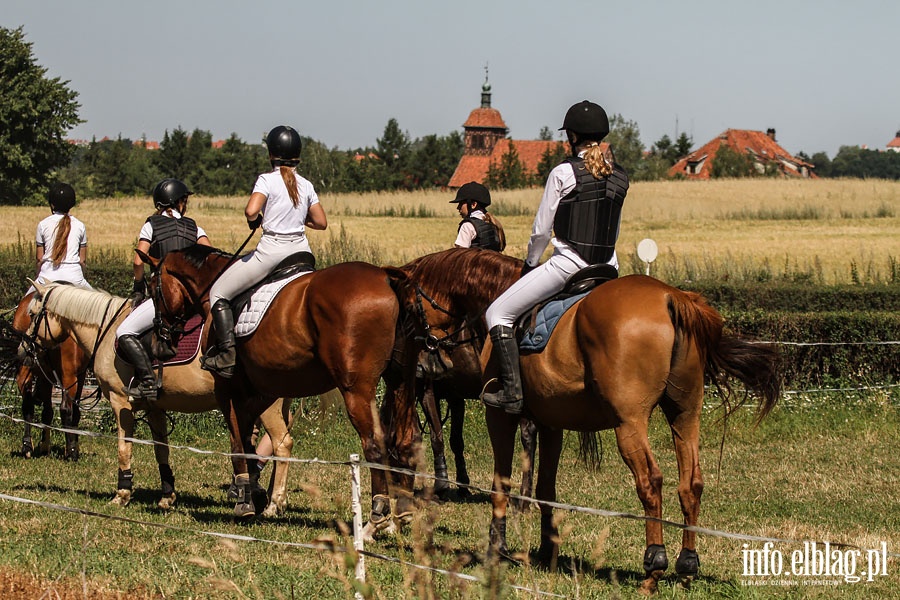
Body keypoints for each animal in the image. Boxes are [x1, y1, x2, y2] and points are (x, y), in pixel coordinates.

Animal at [12, 290, 89, 460]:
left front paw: (44, 445)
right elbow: (74, 411)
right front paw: (73, 446)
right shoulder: (78, 376)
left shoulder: (44, 376)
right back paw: (71, 451)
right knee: (65, 408)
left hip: (25, 368)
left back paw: (27, 446)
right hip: (69, 376)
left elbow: (47, 412)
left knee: (28, 404)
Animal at [22, 282, 296, 516]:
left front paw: (122, 494)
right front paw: (167, 496)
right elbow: (161, 450)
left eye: (33, 314)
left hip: (266, 407)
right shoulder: (155, 408)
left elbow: (124, 448)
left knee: (282, 444)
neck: (108, 329)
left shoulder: (120, 403)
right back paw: (266, 497)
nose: (23, 349)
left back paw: (274, 503)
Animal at [142, 244, 422, 528]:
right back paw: (401, 514)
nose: (158, 344)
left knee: (374, 442)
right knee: (405, 439)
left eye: (153, 289)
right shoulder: (260, 394)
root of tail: (386, 278)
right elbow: (250, 442)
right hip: (400, 382)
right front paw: (256, 495)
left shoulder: (227, 391)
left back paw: (379, 509)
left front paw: (245, 501)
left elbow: (237, 444)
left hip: (356, 389)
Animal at [392, 247, 780, 592]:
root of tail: (671, 297)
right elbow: (545, 488)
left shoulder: (499, 414)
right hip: (685, 414)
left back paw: (653, 566)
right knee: (691, 483)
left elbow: (500, 482)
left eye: (412, 308)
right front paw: (547, 549)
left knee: (651, 482)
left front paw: (496, 548)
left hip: (629, 423)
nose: (426, 366)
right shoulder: (550, 422)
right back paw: (687, 565)